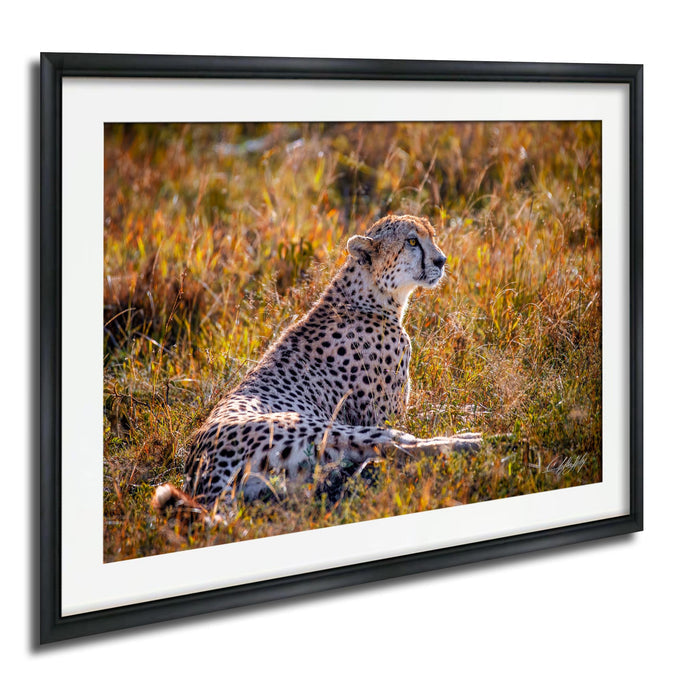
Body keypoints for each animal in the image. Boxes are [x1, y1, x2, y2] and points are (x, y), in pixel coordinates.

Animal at [154, 214, 481, 515]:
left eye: (431, 236)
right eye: (412, 241)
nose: (441, 260)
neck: (369, 295)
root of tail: (199, 469)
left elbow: (438, 408)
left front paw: (471, 408)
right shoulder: (384, 417)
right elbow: (421, 420)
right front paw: (473, 417)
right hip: (319, 427)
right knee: (396, 445)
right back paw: (473, 440)